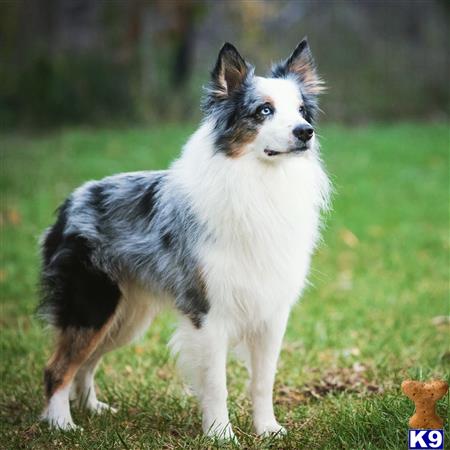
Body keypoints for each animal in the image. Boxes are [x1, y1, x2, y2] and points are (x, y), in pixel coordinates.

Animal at [38, 38, 330, 440]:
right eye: (264, 110)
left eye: (301, 110)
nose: (305, 132)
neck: (259, 181)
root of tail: (70, 202)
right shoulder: (207, 310)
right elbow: (217, 384)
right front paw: (221, 435)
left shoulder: (272, 311)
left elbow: (263, 380)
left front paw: (268, 429)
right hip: (91, 306)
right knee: (58, 367)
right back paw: (62, 424)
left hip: (126, 316)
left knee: (85, 363)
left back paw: (93, 409)